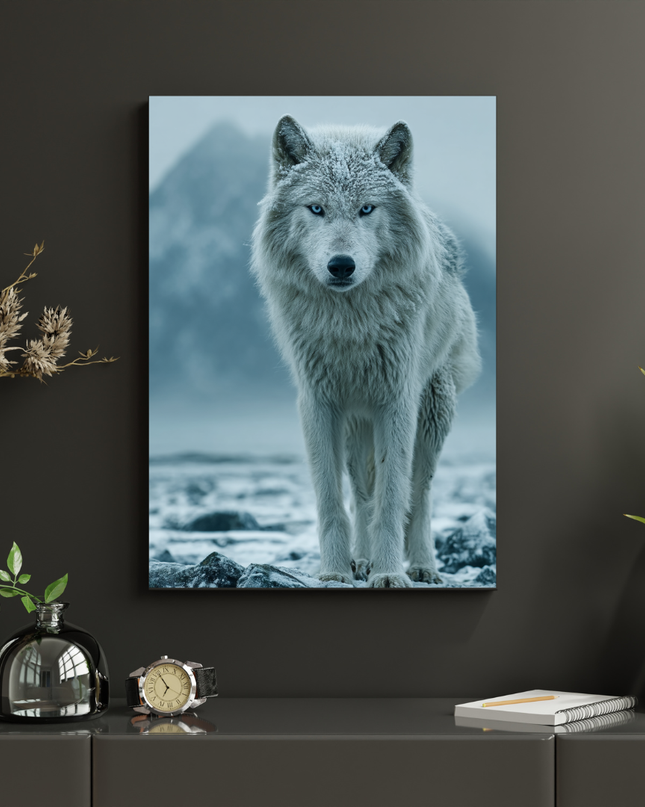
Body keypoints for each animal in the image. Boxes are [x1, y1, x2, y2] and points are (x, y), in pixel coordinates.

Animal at [251, 115, 481, 588]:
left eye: (367, 209)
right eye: (316, 208)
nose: (341, 265)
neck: (349, 327)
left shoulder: (397, 402)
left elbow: (394, 499)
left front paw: (390, 573)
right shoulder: (318, 403)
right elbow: (332, 501)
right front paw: (336, 572)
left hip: (432, 413)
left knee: (419, 493)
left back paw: (423, 567)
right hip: (357, 427)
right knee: (360, 493)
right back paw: (361, 559)